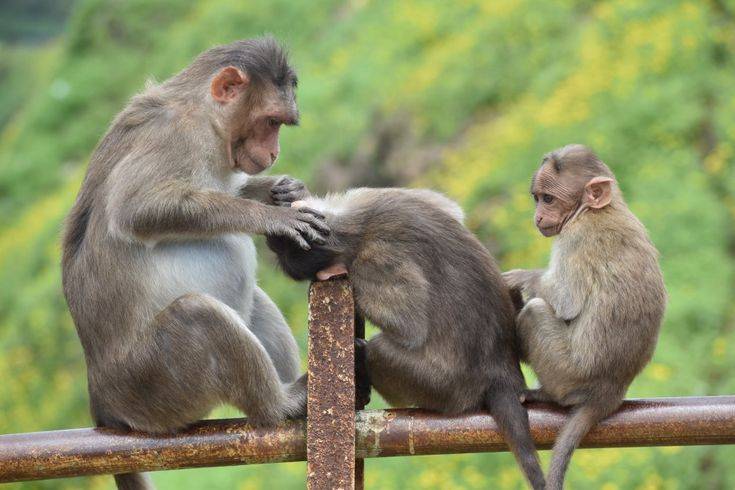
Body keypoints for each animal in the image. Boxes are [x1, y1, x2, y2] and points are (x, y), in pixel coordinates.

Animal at [61, 38, 330, 490]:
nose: (273, 153)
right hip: (154, 383)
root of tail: (101, 396)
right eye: (270, 121)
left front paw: (283, 190)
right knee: (199, 314)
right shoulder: (177, 137)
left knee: (252, 301)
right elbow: (136, 208)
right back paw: (280, 403)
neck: (205, 116)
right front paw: (270, 216)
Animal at [266, 188, 546, 489]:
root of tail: (503, 370)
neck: (354, 226)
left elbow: (410, 327)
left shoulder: (373, 261)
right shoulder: (367, 196)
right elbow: (450, 209)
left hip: (444, 388)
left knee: (379, 351)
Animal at [503, 144, 666, 490]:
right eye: (537, 198)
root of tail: (610, 393)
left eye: (549, 199)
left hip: (568, 373)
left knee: (536, 312)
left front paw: (517, 278)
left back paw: (545, 394)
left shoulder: (576, 238)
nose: (538, 216)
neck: (594, 210)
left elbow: (565, 300)